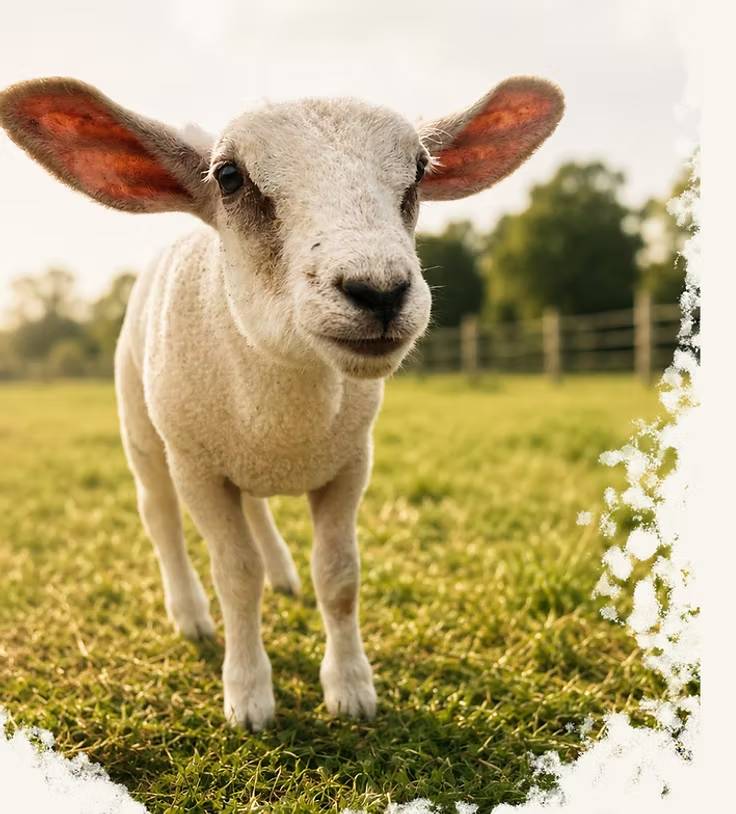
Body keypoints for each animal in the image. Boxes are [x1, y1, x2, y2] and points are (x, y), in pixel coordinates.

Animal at [0, 76, 564, 731]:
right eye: (228, 176)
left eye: (421, 170)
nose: (379, 291)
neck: (287, 410)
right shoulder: (199, 469)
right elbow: (235, 575)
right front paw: (248, 697)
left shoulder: (350, 464)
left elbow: (340, 577)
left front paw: (350, 688)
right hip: (142, 430)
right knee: (159, 515)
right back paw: (190, 614)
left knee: (257, 510)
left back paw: (283, 575)